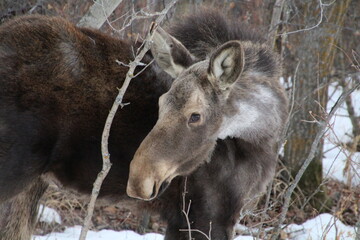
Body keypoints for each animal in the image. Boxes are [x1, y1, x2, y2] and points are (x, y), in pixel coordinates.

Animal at [0, 8, 286, 240]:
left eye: (195, 115)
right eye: (161, 103)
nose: (138, 178)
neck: (262, 135)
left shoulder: (188, 218)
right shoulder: (206, 214)